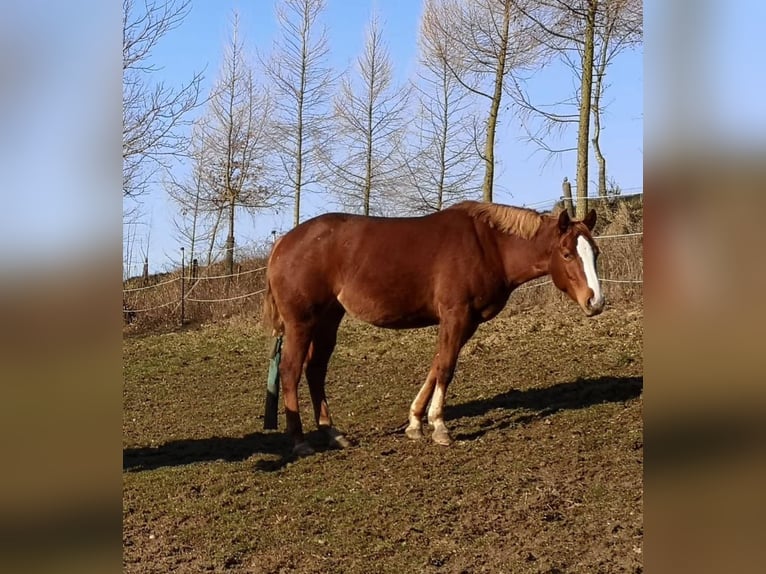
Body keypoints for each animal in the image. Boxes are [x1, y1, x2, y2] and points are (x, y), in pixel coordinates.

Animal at [262, 201, 604, 456]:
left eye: (595, 253)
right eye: (567, 253)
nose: (596, 301)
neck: (489, 246)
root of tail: (283, 242)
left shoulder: (466, 322)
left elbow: (437, 365)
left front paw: (416, 422)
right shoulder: (456, 315)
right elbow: (446, 368)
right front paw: (439, 426)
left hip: (328, 320)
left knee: (315, 370)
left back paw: (333, 433)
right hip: (301, 323)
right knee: (291, 371)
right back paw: (299, 441)